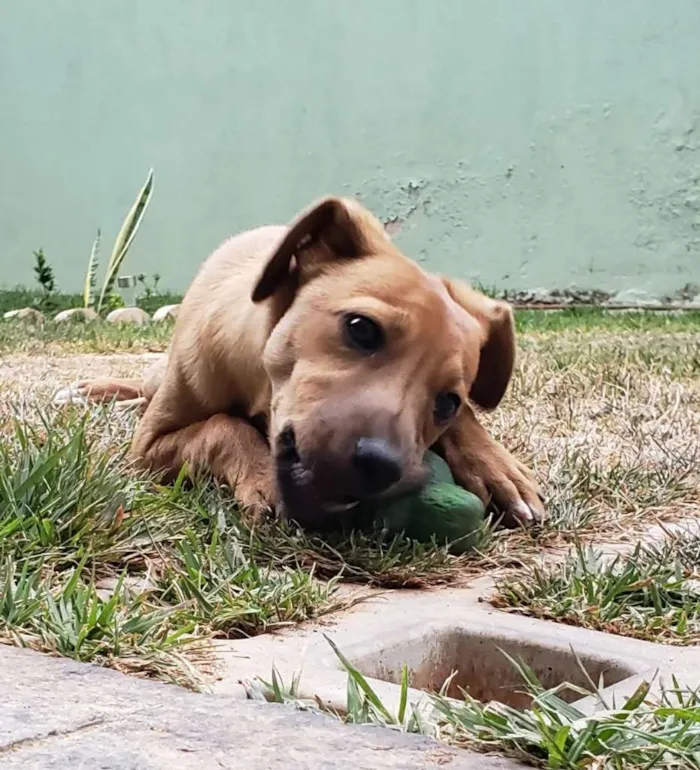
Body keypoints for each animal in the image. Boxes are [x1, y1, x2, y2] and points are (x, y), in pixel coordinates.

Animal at [60, 196, 544, 528]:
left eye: (447, 402)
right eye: (361, 328)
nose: (380, 466)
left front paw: (494, 464)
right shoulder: (149, 445)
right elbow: (221, 426)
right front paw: (259, 476)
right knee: (143, 388)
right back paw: (95, 393)